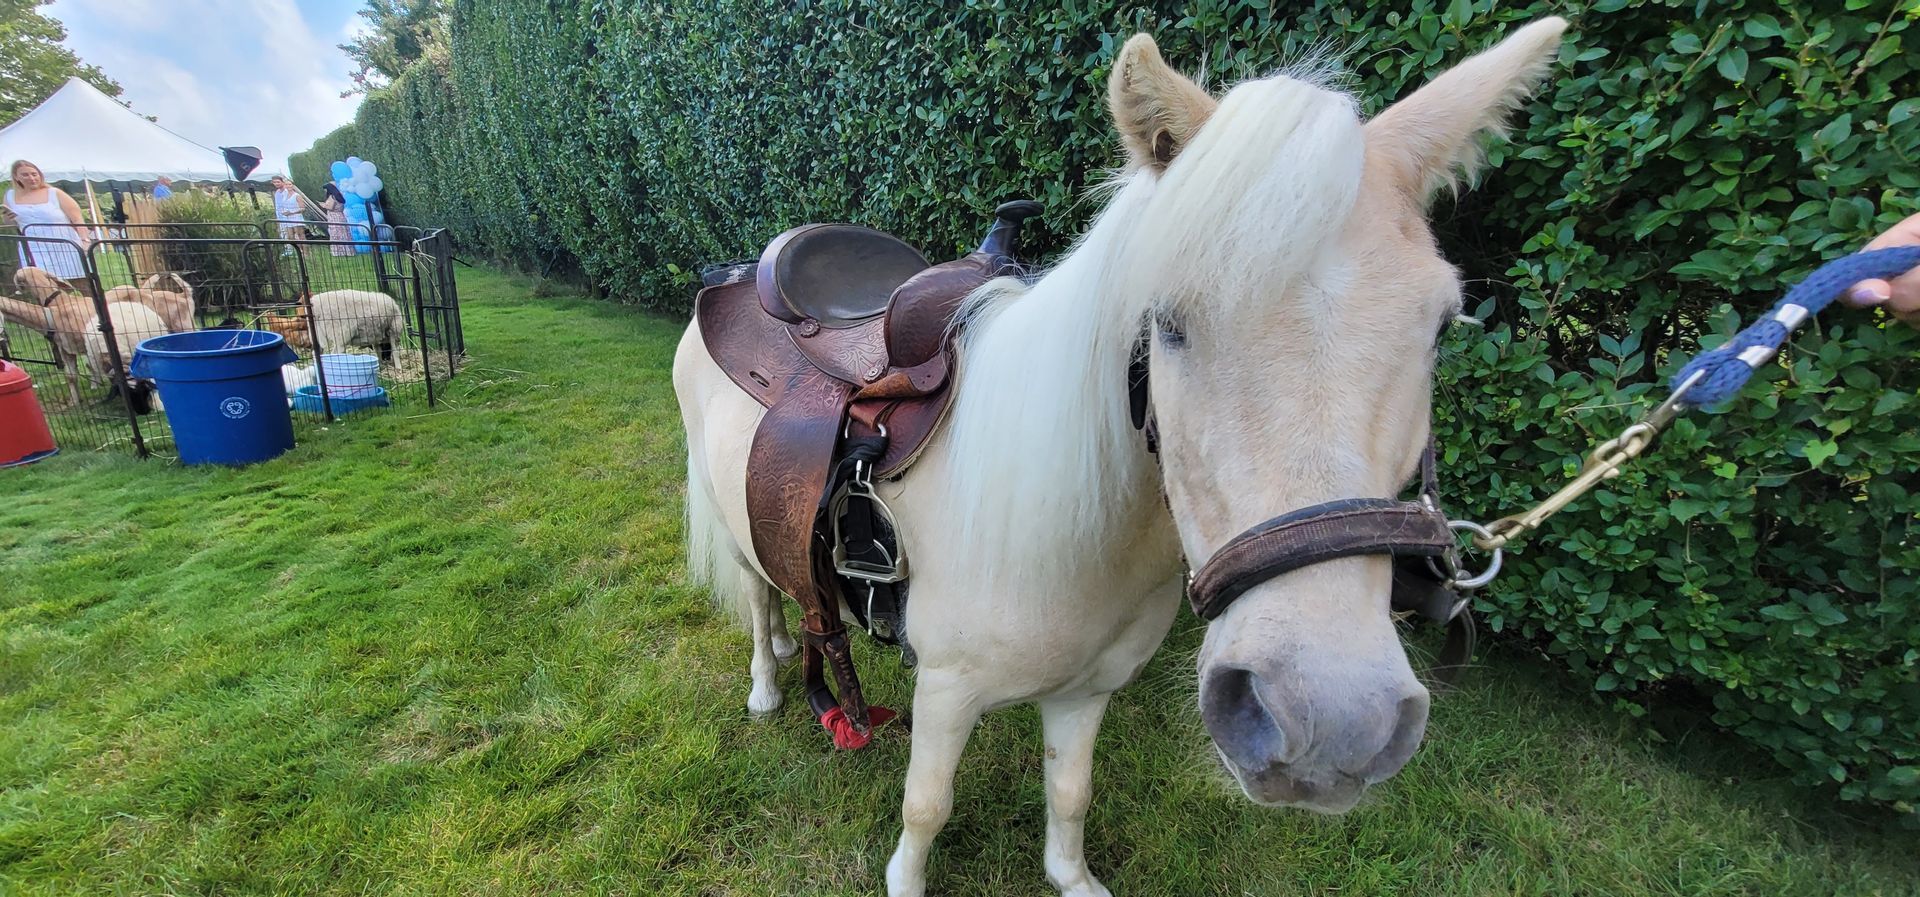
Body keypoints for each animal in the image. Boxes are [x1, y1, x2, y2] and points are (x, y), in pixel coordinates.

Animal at [673, 17, 1568, 896]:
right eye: (1166, 322)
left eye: (1442, 326)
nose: (1331, 722)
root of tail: (737, 274)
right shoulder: (947, 688)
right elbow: (927, 805)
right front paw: (907, 878)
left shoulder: (1087, 691)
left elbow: (1071, 790)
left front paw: (1072, 877)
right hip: (736, 523)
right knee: (760, 597)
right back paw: (767, 683)